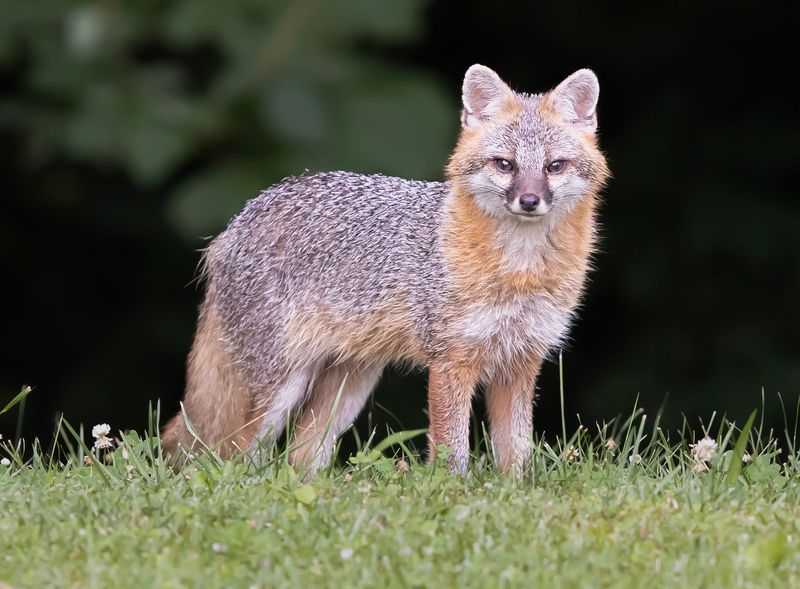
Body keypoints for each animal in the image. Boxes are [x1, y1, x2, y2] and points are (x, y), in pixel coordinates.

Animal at [162, 64, 610, 475]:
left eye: (554, 166)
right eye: (505, 164)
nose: (530, 201)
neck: (521, 270)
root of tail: (238, 221)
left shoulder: (521, 362)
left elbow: (517, 454)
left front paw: (512, 494)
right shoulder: (451, 361)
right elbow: (453, 451)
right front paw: (454, 493)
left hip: (347, 390)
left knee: (299, 458)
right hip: (280, 389)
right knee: (230, 459)